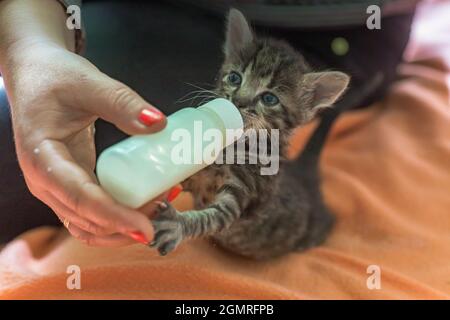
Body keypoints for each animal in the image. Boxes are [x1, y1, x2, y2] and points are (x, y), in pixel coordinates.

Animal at [149, 8, 350, 260]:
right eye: (235, 78)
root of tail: (306, 177)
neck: (234, 144)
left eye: (269, 98)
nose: (238, 101)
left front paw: (177, 225)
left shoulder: (243, 194)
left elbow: (211, 218)